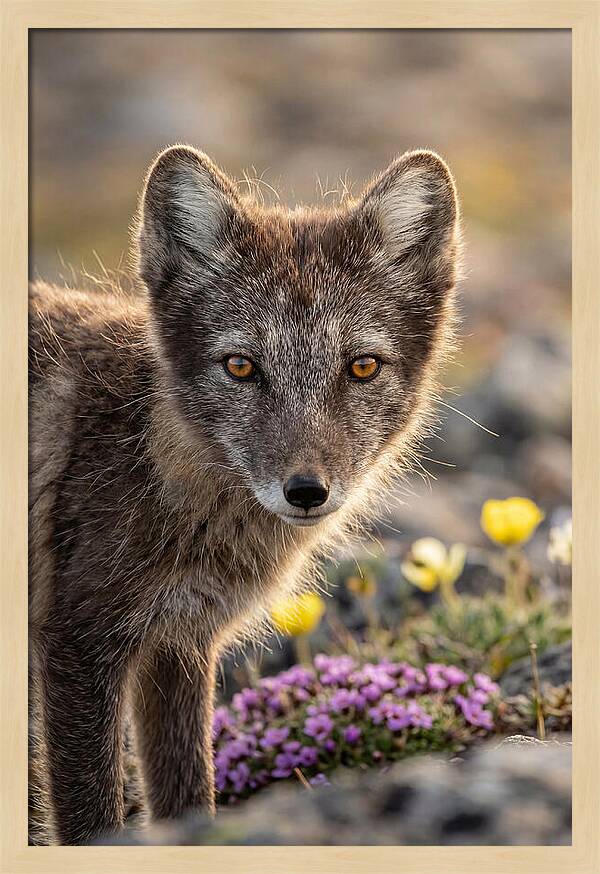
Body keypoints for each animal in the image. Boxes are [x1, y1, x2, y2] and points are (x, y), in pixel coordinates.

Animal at [28, 145, 461, 844]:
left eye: (361, 367)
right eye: (240, 367)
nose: (306, 492)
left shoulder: (178, 646)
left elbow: (188, 799)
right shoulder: (78, 643)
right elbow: (91, 820)